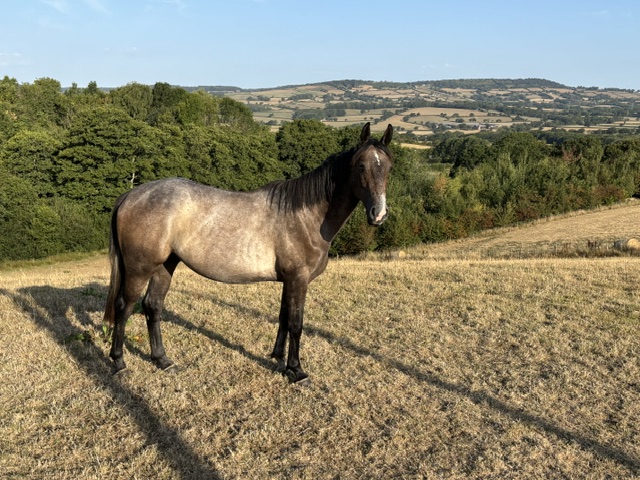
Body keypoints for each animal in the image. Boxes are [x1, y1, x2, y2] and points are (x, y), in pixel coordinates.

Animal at [103, 122, 393, 384]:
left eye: (389, 167)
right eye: (361, 166)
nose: (378, 214)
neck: (306, 216)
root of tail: (131, 195)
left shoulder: (289, 281)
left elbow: (284, 317)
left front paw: (279, 360)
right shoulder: (298, 279)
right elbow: (296, 323)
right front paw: (297, 371)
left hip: (165, 265)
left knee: (152, 306)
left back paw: (163, 360)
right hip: (139, 268)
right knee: (124, 307)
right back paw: (119, 363)